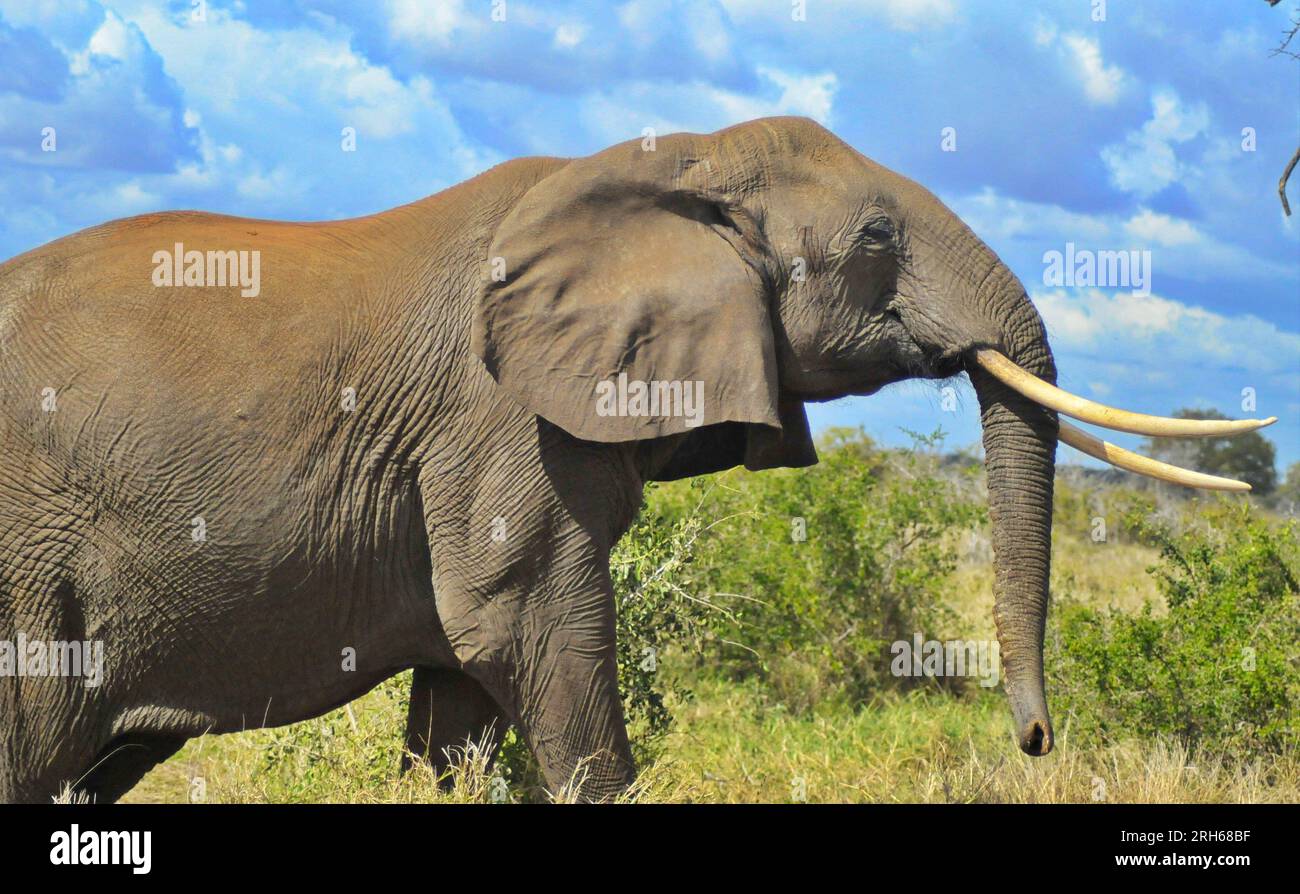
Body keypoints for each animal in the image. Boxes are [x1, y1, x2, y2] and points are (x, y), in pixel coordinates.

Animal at [0, 113, 1268, 805]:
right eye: (873, 239)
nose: (1037, 742)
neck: (672, 161)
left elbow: (462, 699)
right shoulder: (502, 424)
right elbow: (527, 633)